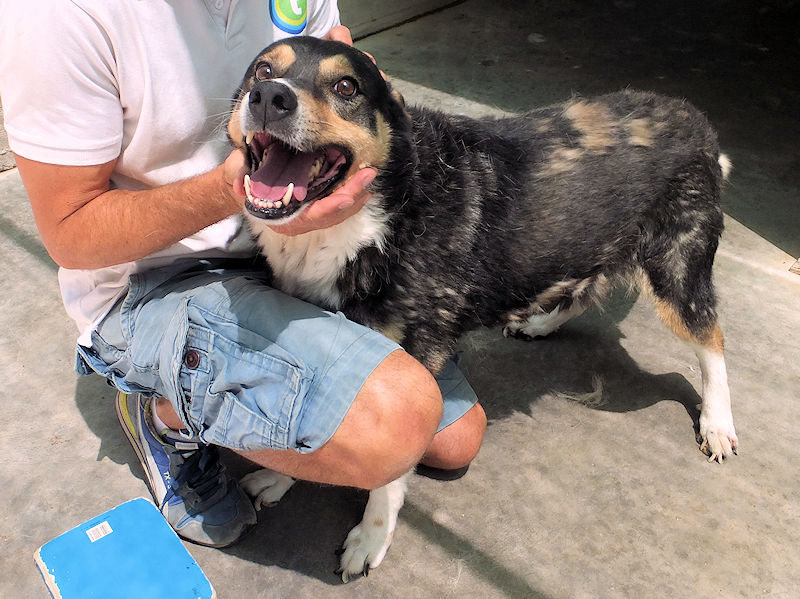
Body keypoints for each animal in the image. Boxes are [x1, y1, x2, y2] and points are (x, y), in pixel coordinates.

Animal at [227, 36, 738, 581]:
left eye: (346, 87)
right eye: (263, 69)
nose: (269, 96)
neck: (387, 208)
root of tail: (694, 117)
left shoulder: (416, 363)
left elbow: (390, 473)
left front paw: (372, 536)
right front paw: (278, 479)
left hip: (675, 272)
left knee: (711, 340)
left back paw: (717, 423)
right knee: (582, 286)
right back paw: (542, 321)